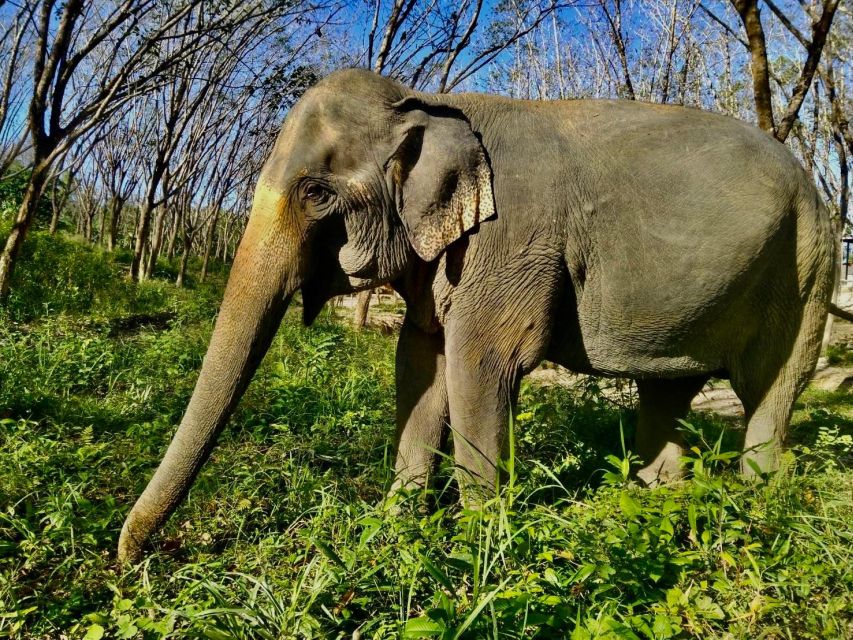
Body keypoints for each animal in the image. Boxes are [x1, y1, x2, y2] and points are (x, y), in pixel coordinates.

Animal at [116, 67, 836, 564]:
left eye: (316, 194)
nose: (133, 560)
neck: (426, 100)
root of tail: (814, 184)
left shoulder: (507, 241)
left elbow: (479, 366)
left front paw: (479, 549)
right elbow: (421, 365)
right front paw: (396, 530)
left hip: (807, 263)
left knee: (770, 393)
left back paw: (758, 513)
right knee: (668, 390)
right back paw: (652, 505)